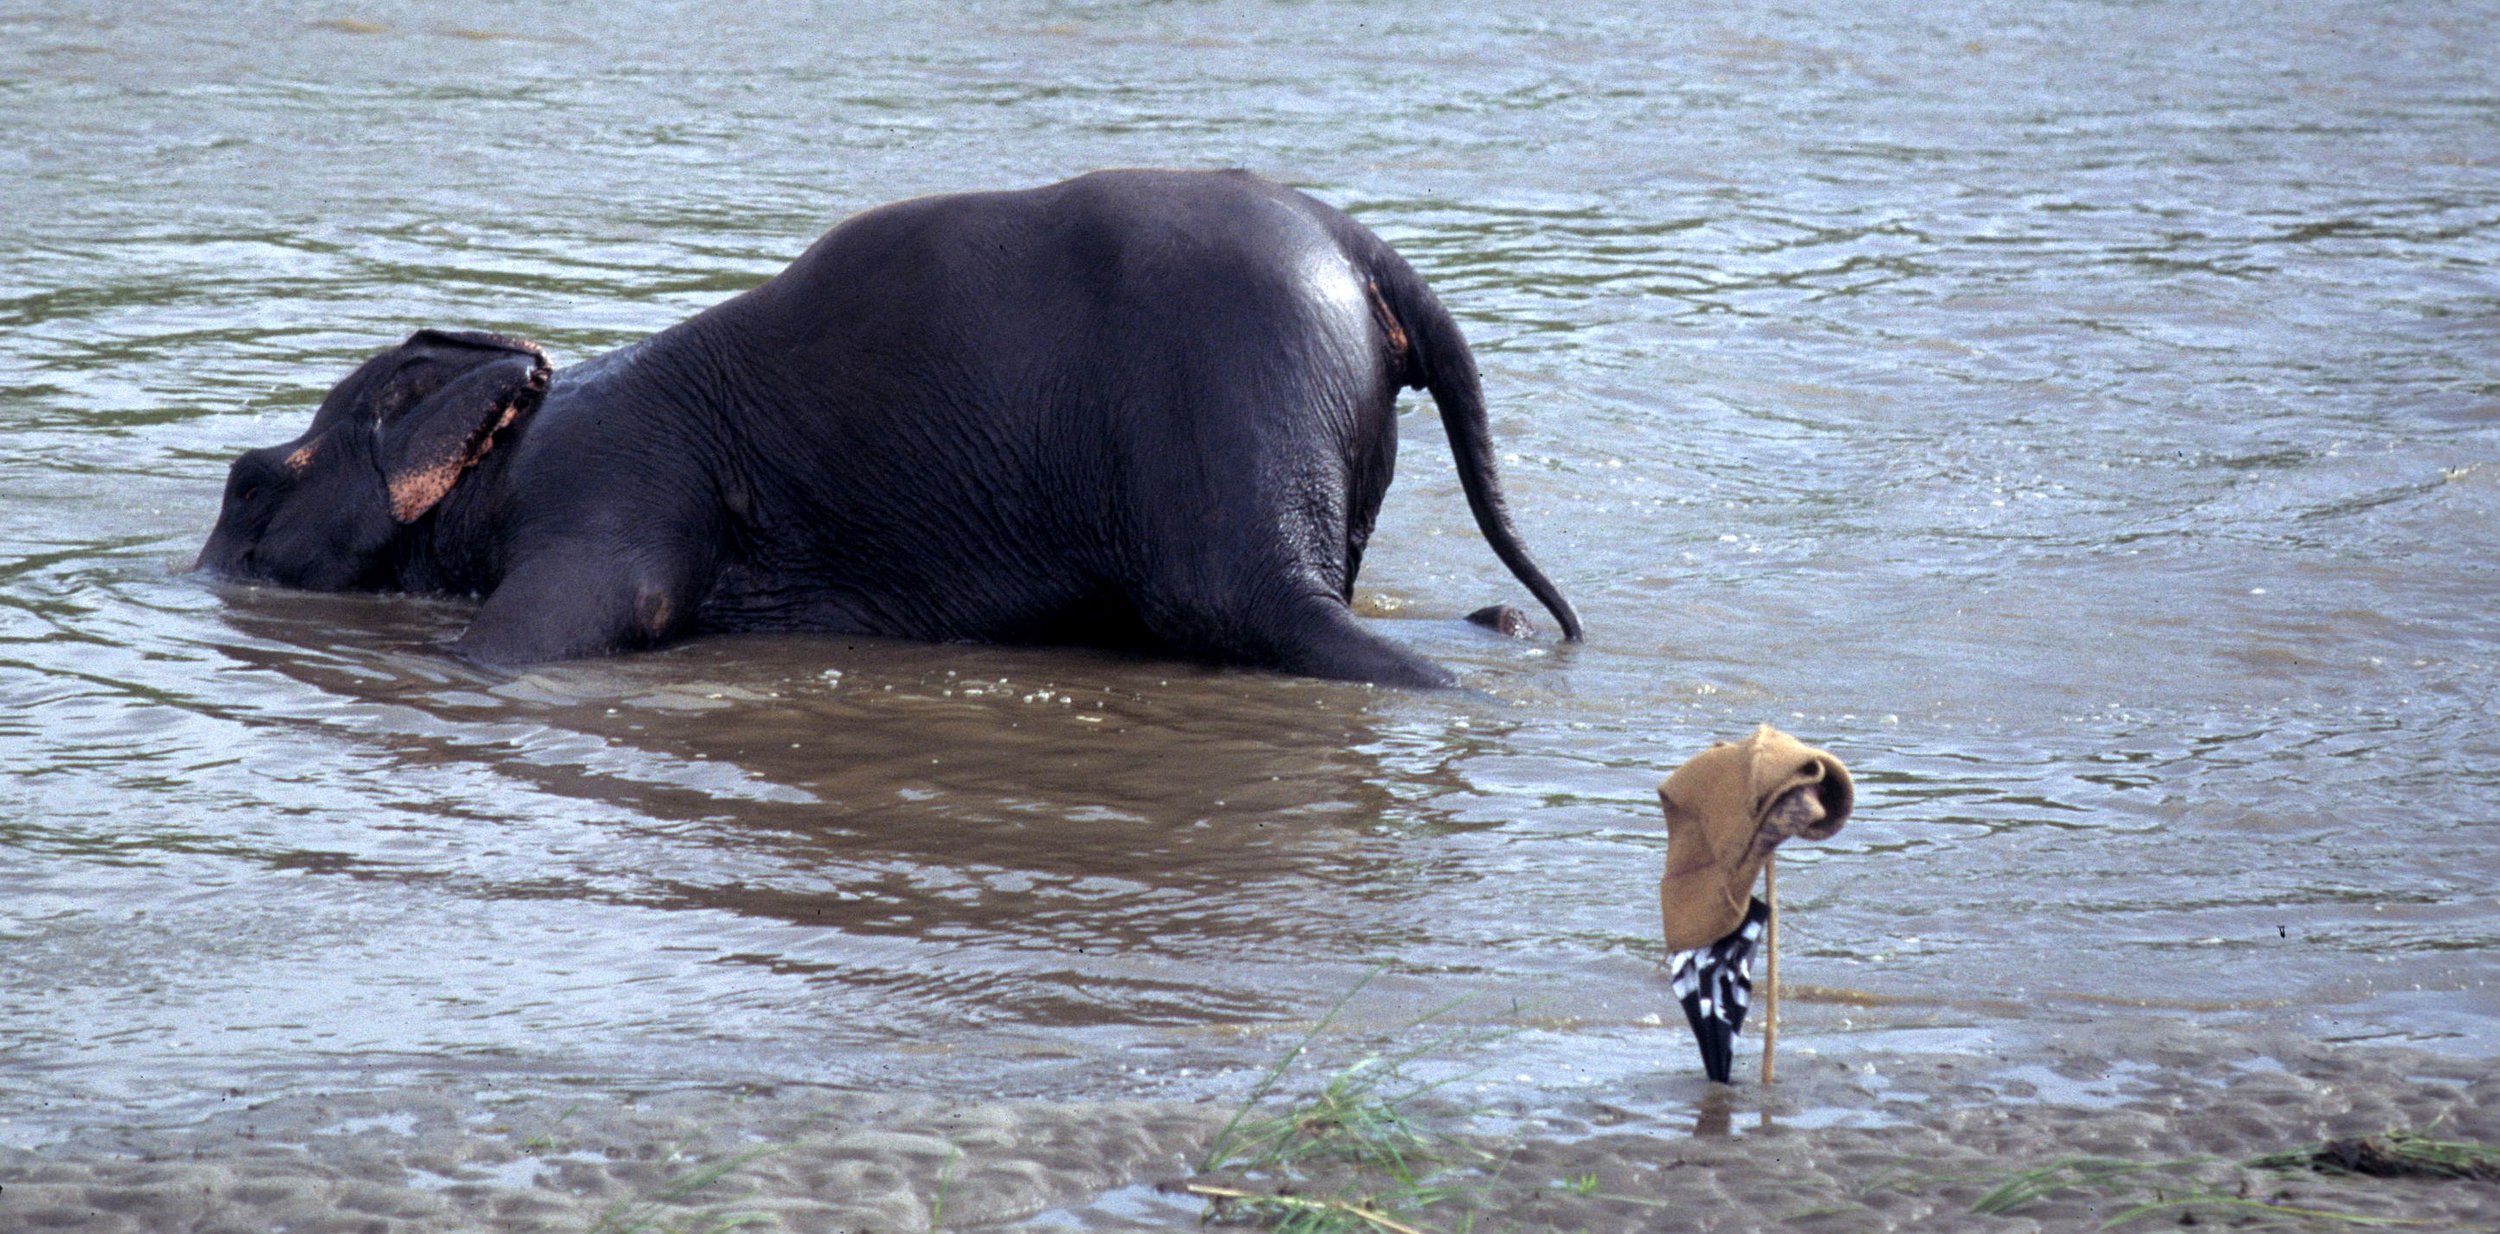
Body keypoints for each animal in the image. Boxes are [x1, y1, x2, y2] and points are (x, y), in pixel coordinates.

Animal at [195, 169, 1581, 688]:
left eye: (247, 485)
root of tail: (1365, 249)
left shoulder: (613, 480)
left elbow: (567, 621)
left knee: (1247, 607)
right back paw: (1497, 629)